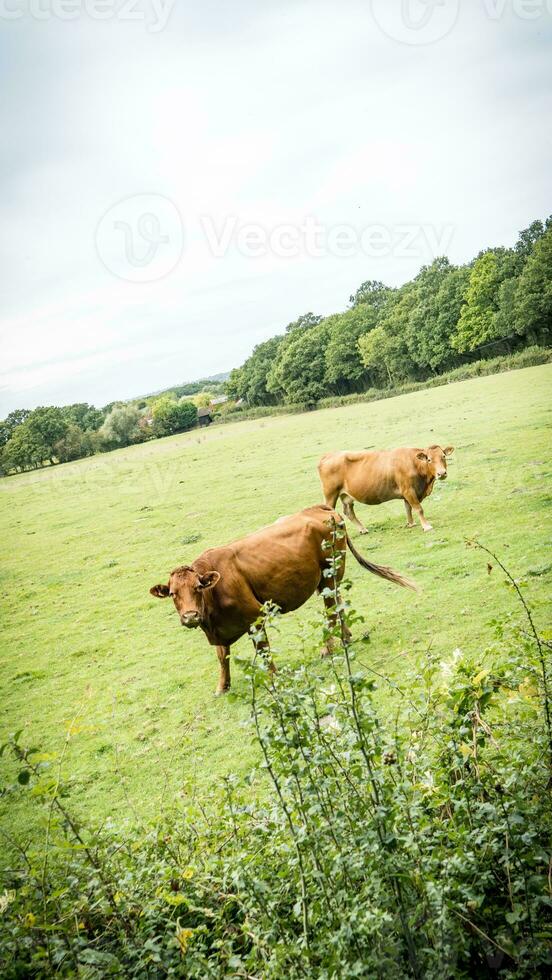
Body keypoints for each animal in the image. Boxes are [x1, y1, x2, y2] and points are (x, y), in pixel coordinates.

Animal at [149, 506, 416, 696]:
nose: (190, 616)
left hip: (330, 576)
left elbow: (263, 650)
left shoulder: (255, 617)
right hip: (329, 580)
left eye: (197, 588)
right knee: (338, 604)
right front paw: (222, 686)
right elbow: (222, 657)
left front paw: (273, 677)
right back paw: (346, 636)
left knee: (331, 611)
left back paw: (328, 648)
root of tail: (320, 508)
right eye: (173, 593)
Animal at [316, 446, 454, 532]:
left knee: (349, 512)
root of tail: (328, 455)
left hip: (346, 495)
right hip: (330, 493)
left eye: (443, 456)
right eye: (429, 460)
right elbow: (418, 509)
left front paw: (411, 523)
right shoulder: (408, 490)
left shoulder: (407, 492)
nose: (442, 473)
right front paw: (426, 526)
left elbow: (408, 508)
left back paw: (363, 529)